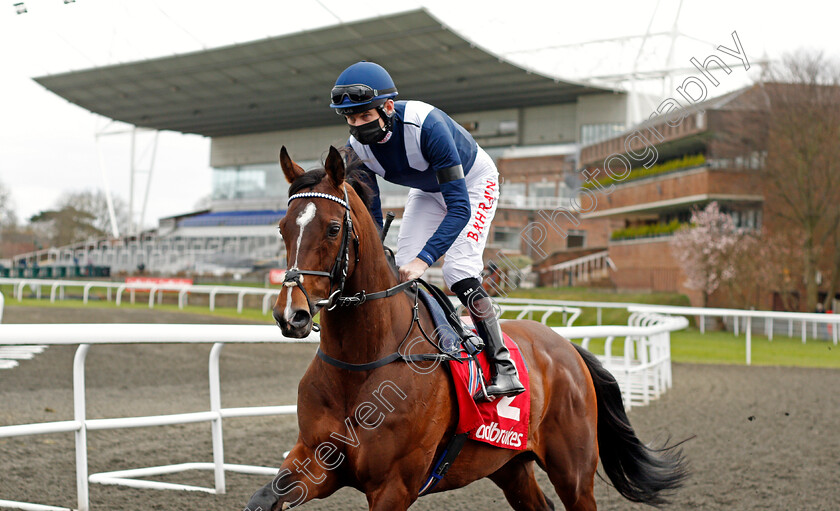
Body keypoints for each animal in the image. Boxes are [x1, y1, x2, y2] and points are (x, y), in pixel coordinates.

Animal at [244, 146, 688, 510]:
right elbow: (264, 498)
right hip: (509, 464)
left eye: (334, 228)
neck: (361, 363)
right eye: (282, 227)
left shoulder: (394, 485)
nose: (291, 314)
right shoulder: (317, 460)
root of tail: (566, 348)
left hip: (573, 470)